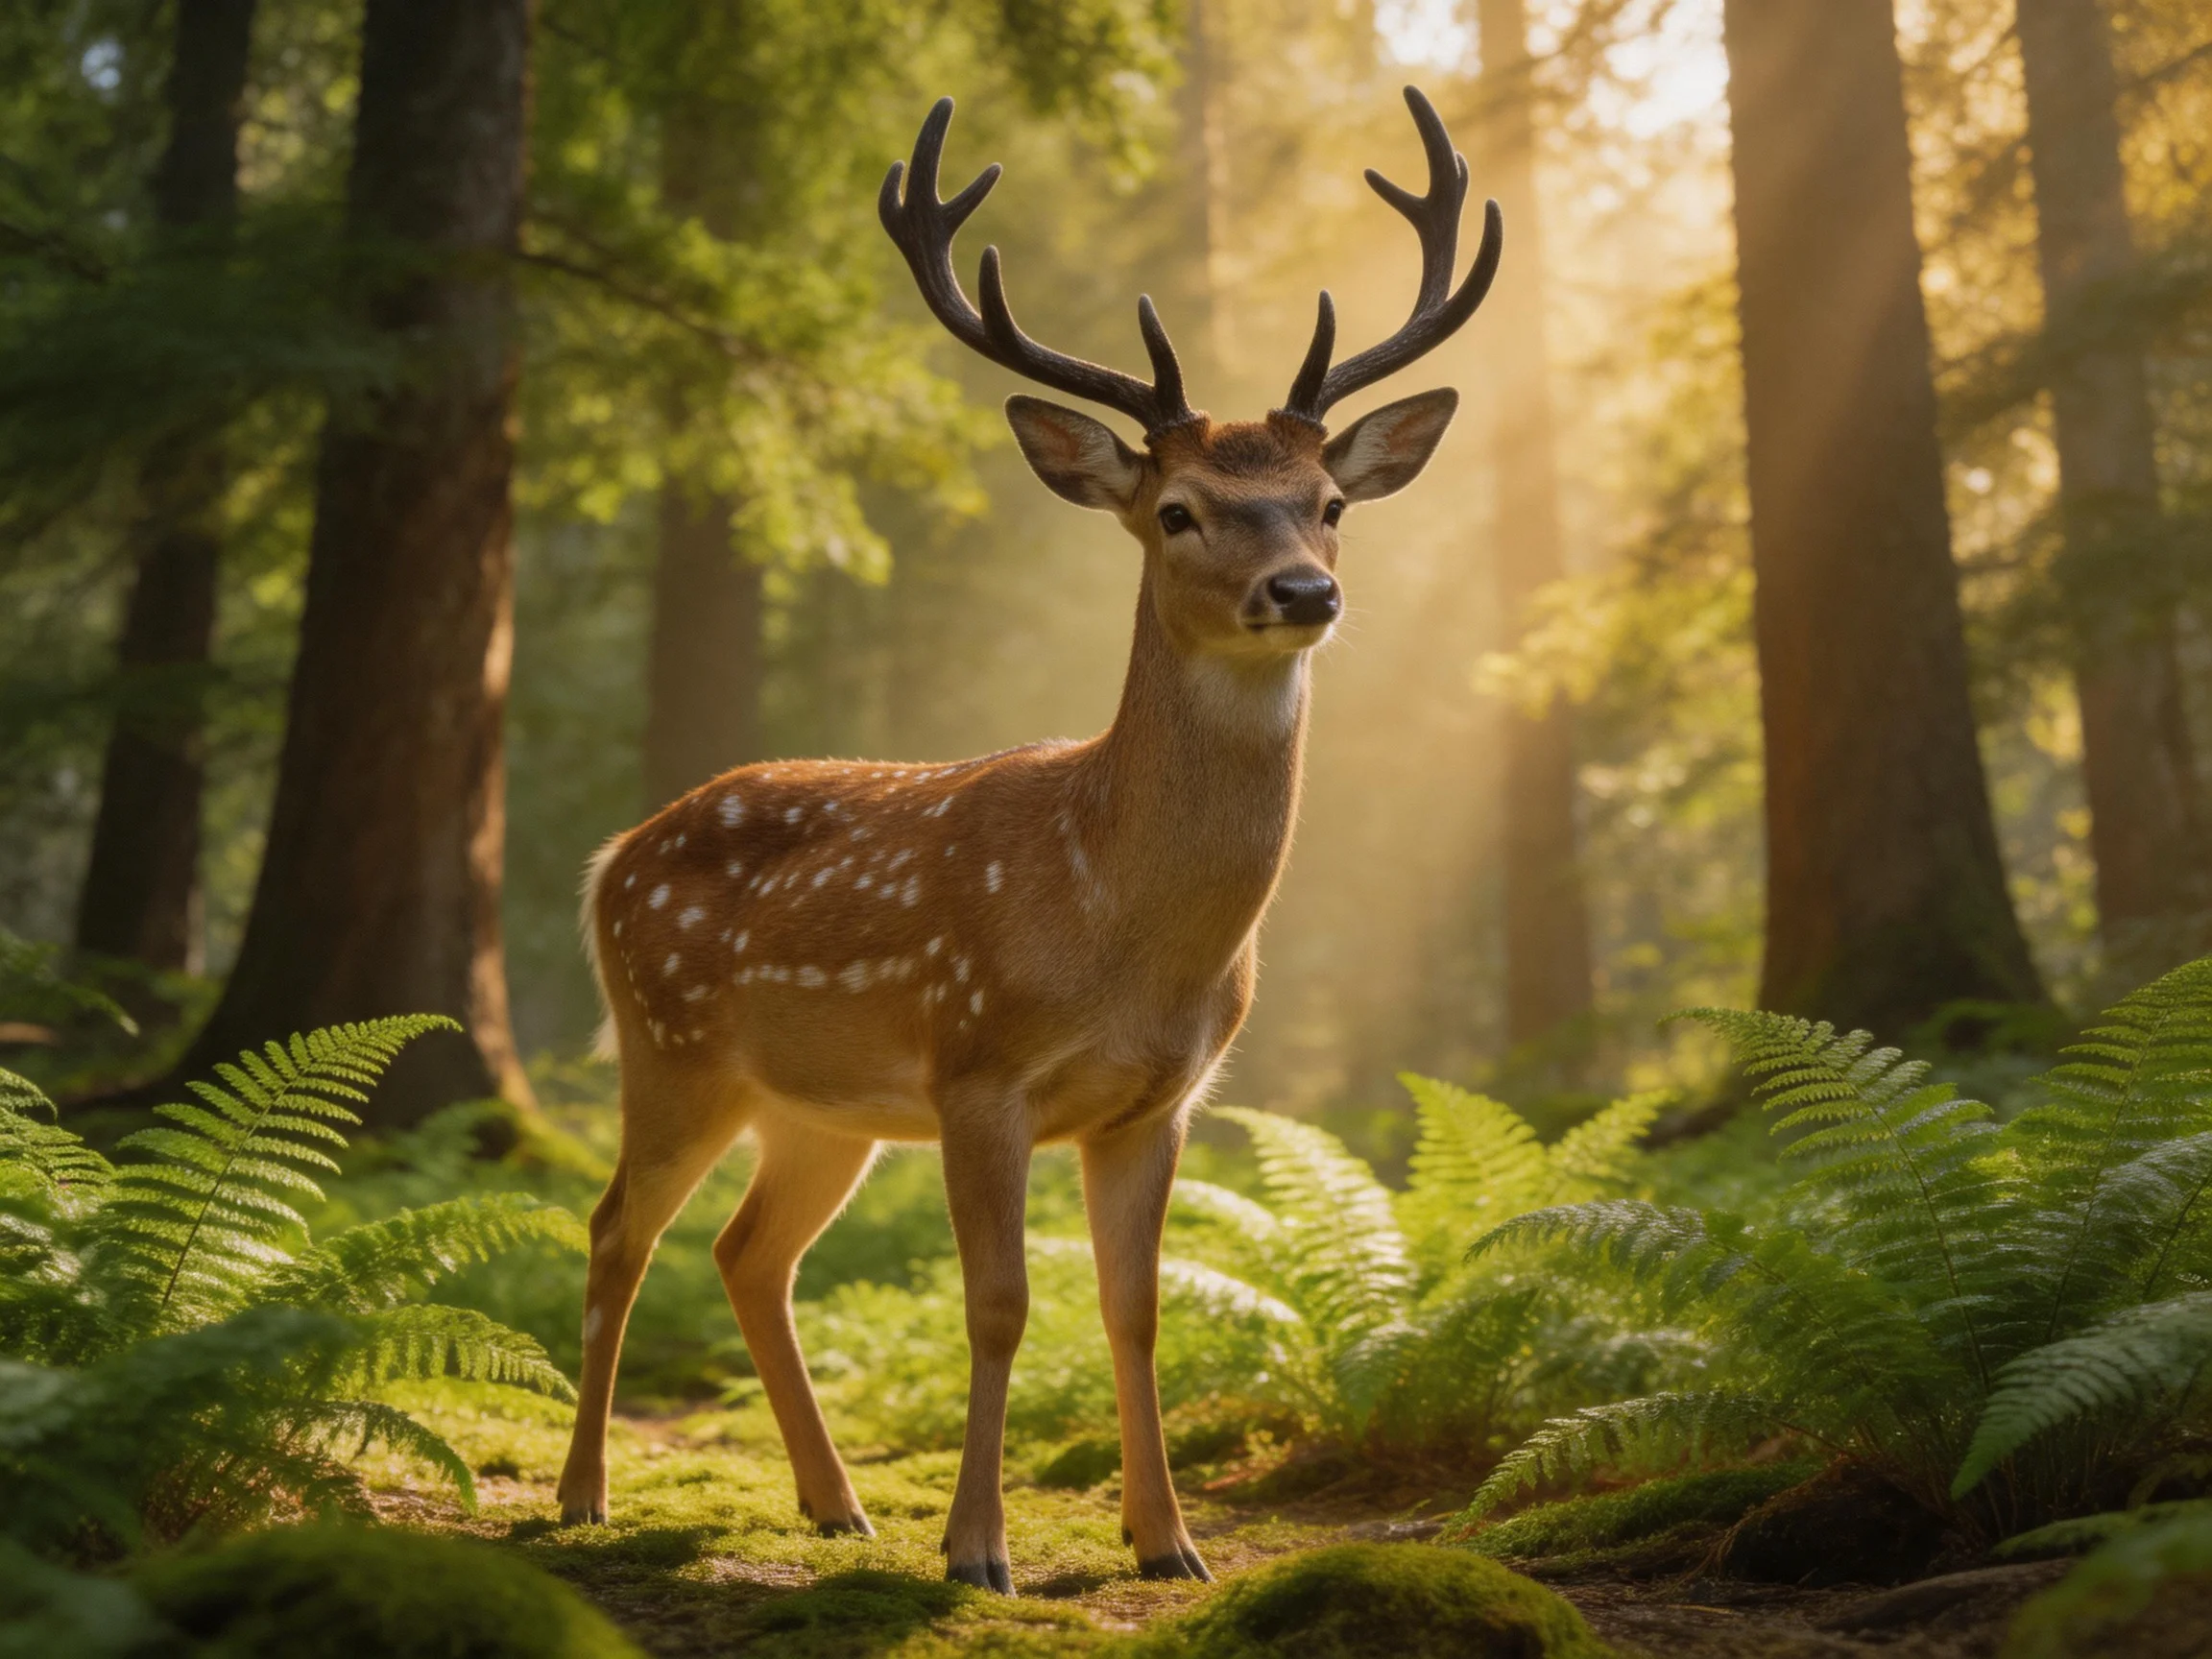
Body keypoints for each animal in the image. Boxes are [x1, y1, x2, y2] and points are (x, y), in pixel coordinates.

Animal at [555, 85, 1501, 1592]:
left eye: (1332, 505)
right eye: (1177, 511)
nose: (1303, 591)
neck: (1116, 916)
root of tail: (611, 859)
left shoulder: (1160, 1102)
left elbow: (1137, 1307)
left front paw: (1168, 1542)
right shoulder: (977, 1066)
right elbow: (997, 1305)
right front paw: (978, 1550)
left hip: (817, 1106)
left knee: (749, 1251)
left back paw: (835, 1504)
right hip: (673, 1045)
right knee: (615, 1231)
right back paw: (587, 1495)